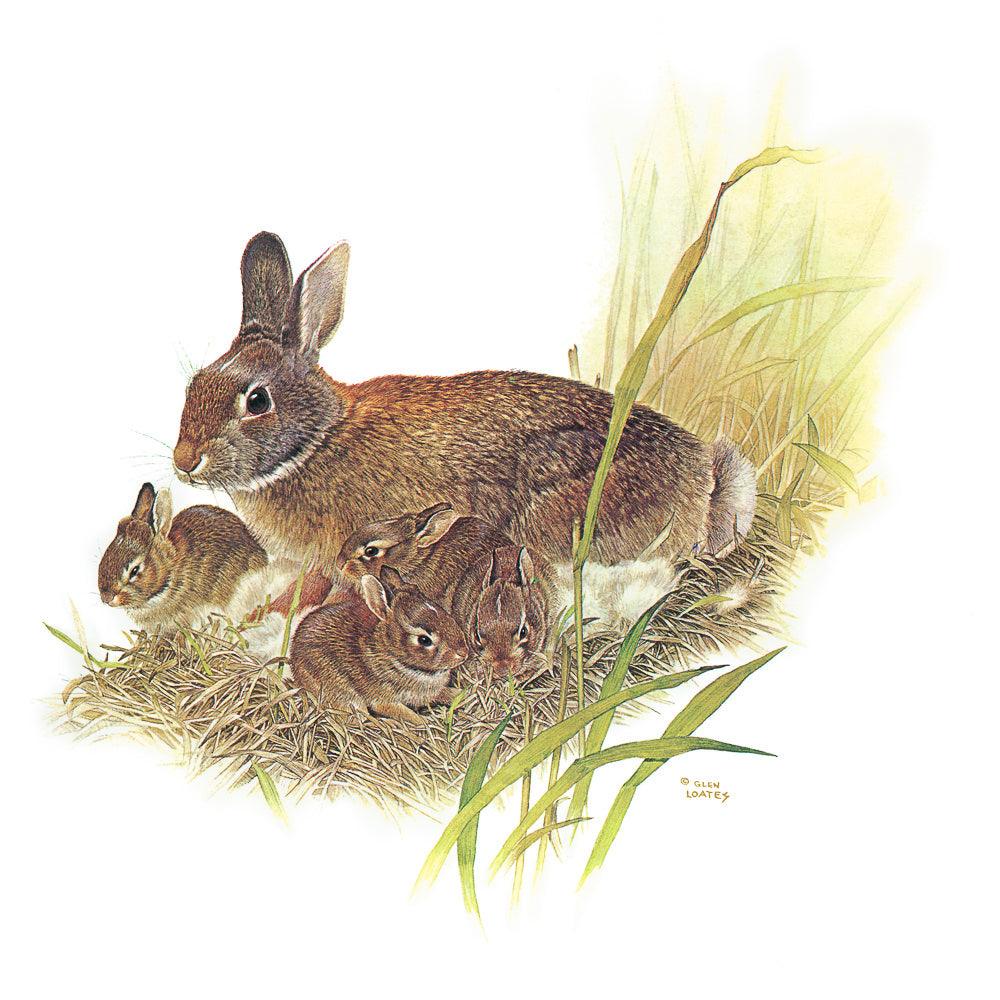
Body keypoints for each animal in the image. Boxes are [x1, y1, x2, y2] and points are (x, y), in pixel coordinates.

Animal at [289, 567, 468, 723]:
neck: (392, 653)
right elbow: (407, 715)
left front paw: (464, 694)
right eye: (424, 640)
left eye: (447, 615)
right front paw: (424, 724)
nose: (463, 653)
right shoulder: (385, 700)